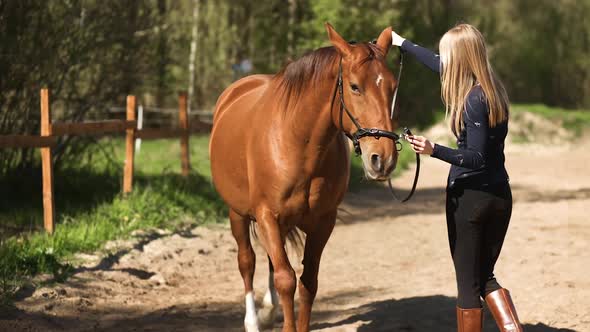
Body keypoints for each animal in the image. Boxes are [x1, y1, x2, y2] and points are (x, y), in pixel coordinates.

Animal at [210, 24, 400, 330]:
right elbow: (286, 279)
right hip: (237, 213)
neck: (297, 141)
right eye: (355, 86)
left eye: (392, 87)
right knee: (247, 261)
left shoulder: (322, 222)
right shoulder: (267, 216)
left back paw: (268, 309)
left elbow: (308, 281)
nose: (382, 159)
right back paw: (253, 320)